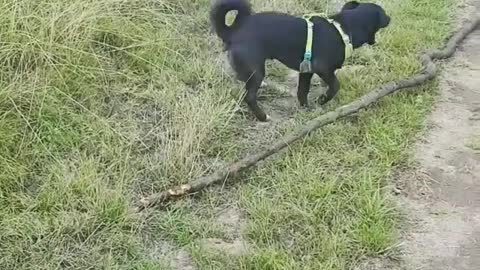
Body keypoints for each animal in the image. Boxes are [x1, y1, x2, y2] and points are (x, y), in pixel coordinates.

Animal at [210, 0, 390, 121]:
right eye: (384, 13)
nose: (390, 17)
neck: (344, 29)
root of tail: (234, 30)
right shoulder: (322, 68)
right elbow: (335, 86)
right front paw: (322, 99)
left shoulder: (306, 71)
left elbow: (302, 92)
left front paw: (305, 109)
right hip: (256, 71)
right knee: (249, 96)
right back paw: (262, 117)